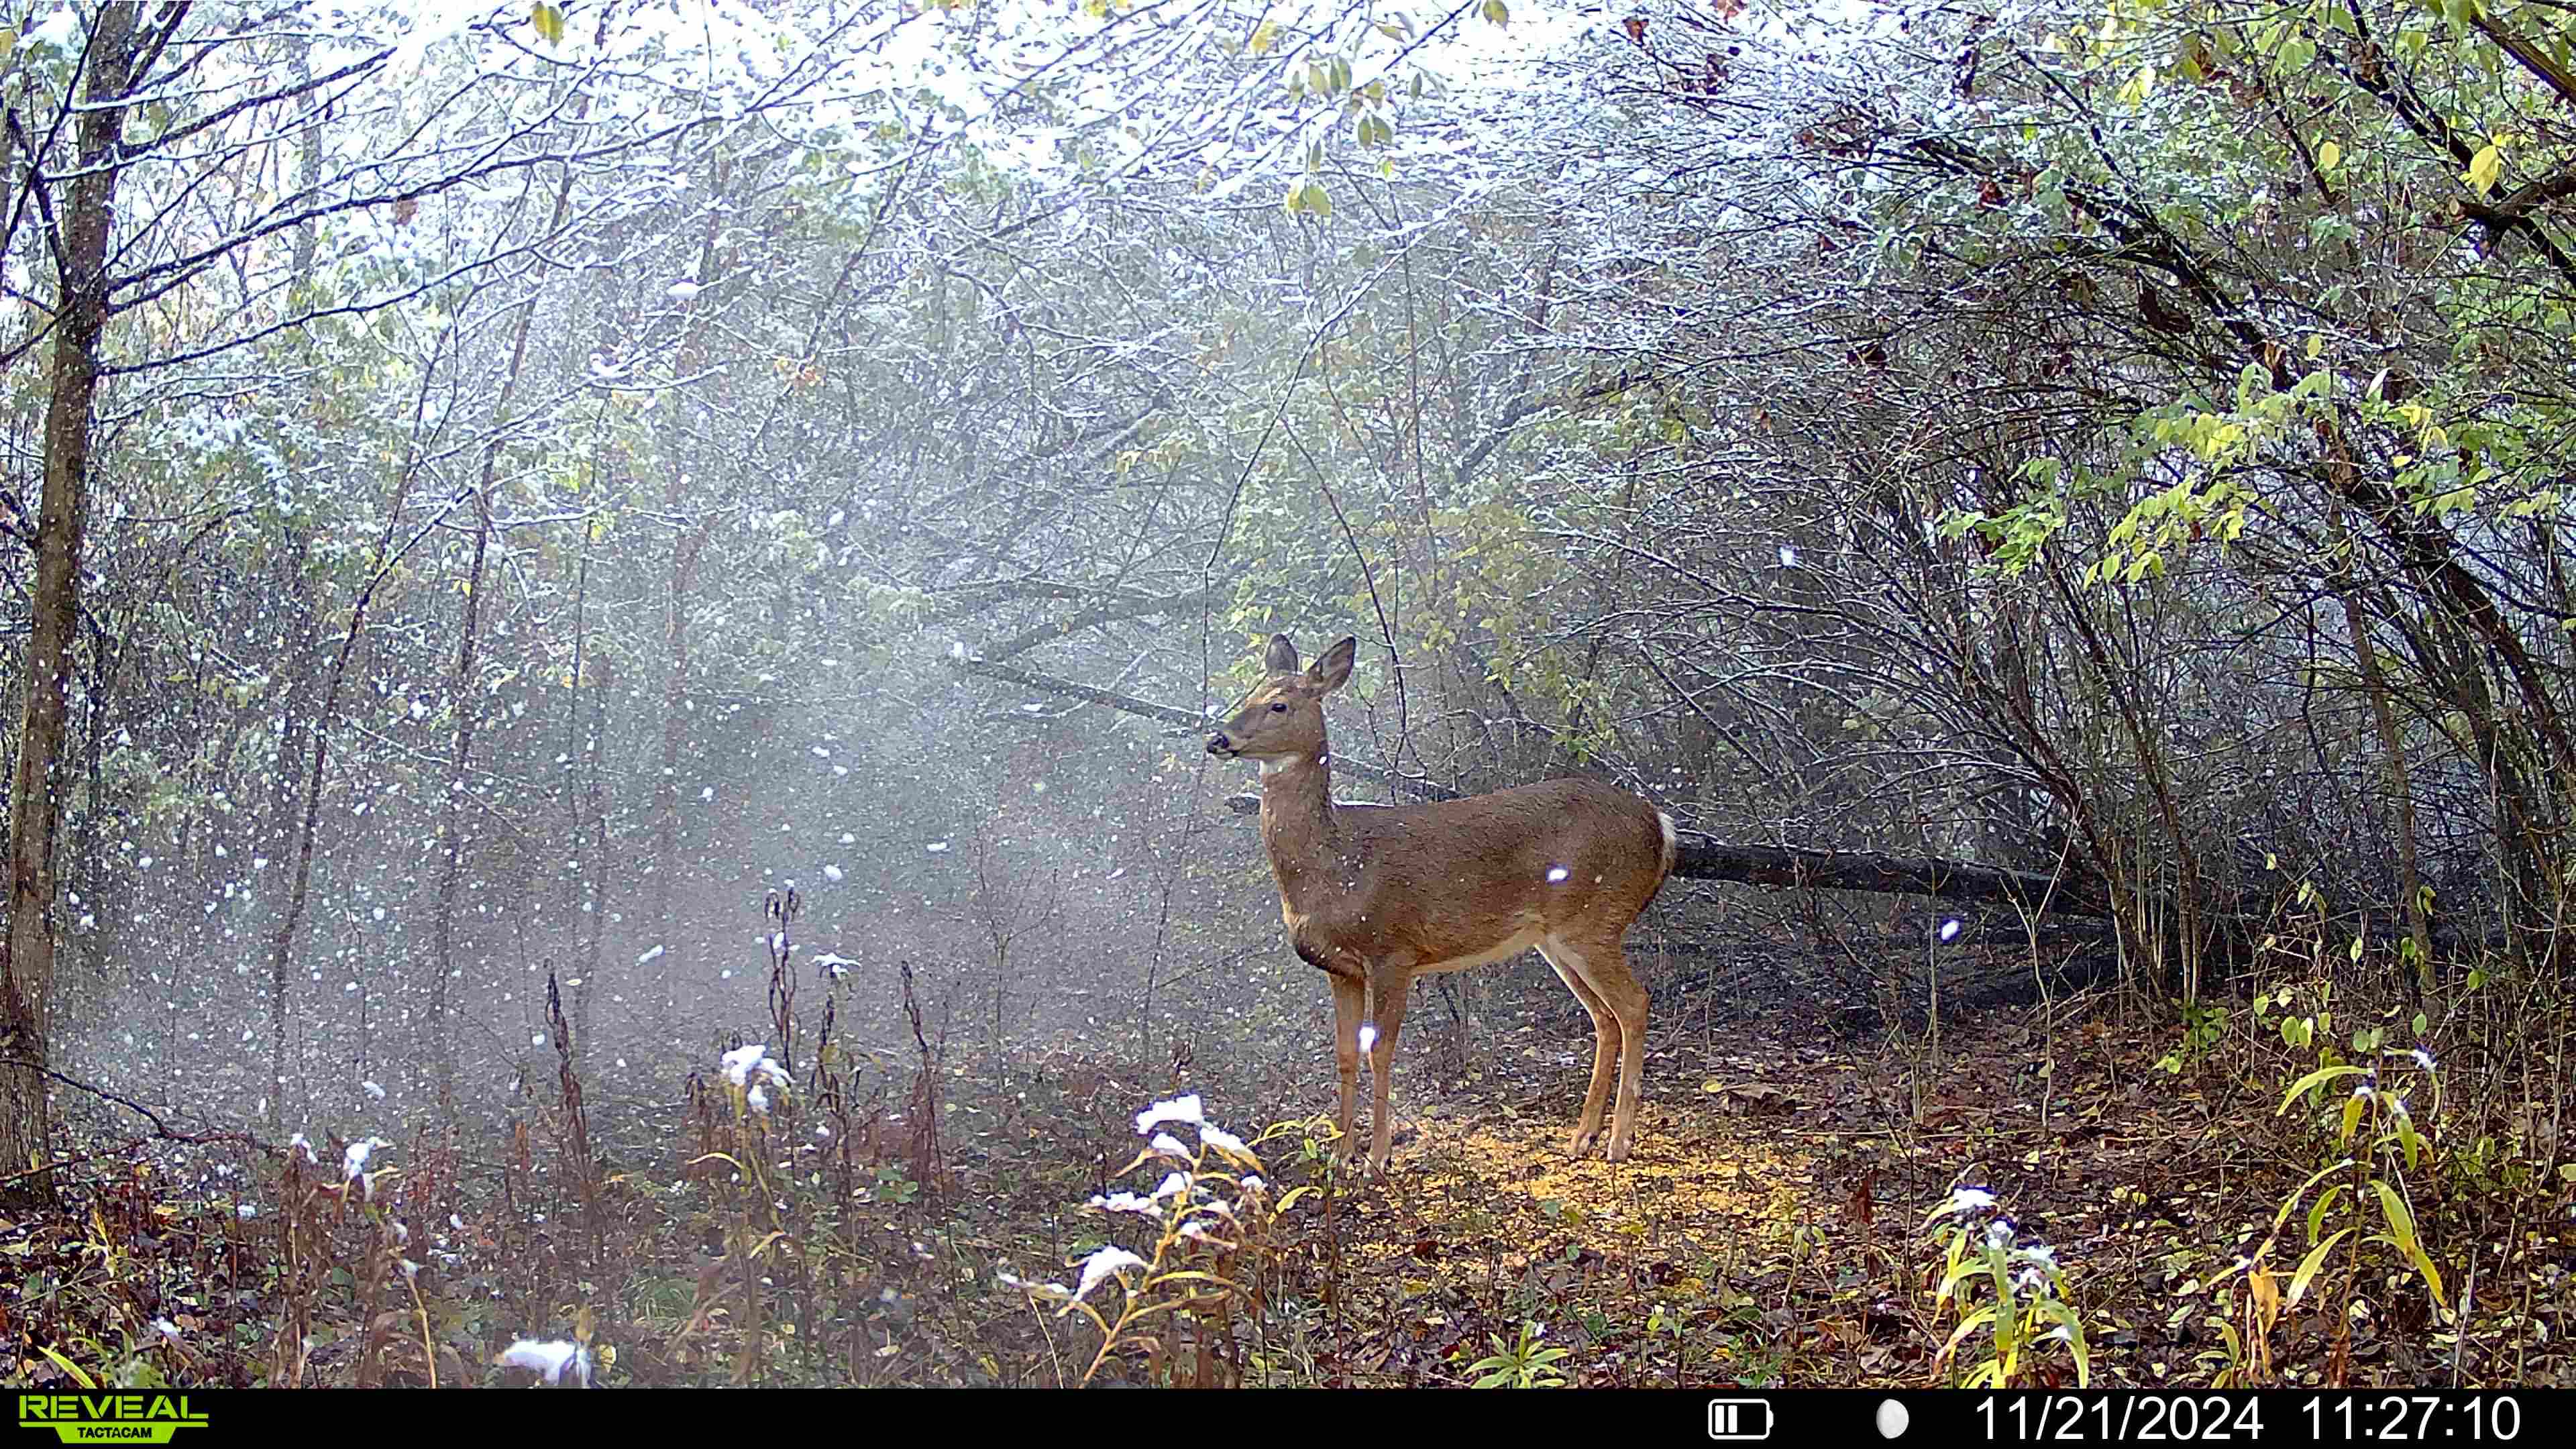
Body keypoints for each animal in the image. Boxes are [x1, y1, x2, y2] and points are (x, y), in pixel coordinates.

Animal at [1206, 634, 1677, 1174]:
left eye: (1279, 704)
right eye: (1249, 692)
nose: (1218, 739)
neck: (1337, 866)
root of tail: (1661, 825)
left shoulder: (1392, 949)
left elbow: (1380, 1051)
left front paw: (1378, 1158)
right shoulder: (1341, 968)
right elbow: (1344, 1054)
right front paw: (1340, 1157)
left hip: (1595, 919)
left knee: (1634, 1003)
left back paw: (1620, 1141)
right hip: (1558, 938)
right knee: (1604, 1017)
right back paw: (1583, 1137)